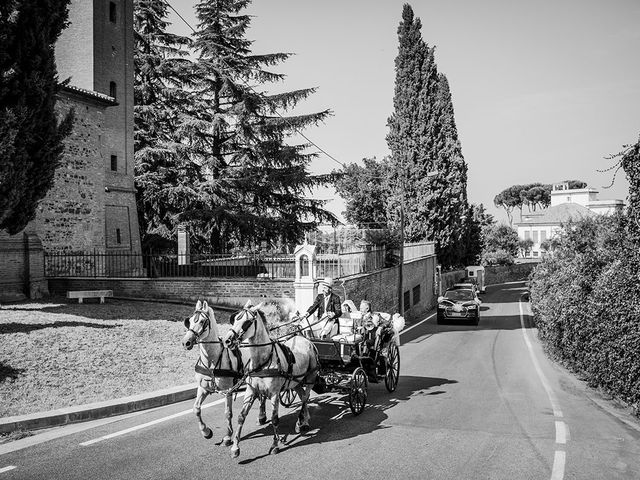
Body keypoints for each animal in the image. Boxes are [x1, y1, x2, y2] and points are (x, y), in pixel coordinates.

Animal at [182, 300, 268, 446]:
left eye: (202, 321)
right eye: (190, 321)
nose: (185, 342)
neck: (212, 360)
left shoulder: (228, 390)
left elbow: (228, 413)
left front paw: (228, 436)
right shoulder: (203, 388)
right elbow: (196, 409)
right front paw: (206, 432)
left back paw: (261, 416)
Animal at [222, 300, 320, 458]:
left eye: (247, 322)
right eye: (235, 319)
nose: (227, 340)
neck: (263, 361)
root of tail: (305, 339)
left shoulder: (274, 393)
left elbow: (275, 419)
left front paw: (275, 445)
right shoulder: (251, 391)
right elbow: (241, 416)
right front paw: (235, 447)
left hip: (311, 376)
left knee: (305, 397)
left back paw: (302, 422)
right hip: (295, 382)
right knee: (302, 395)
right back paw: (303, 420)